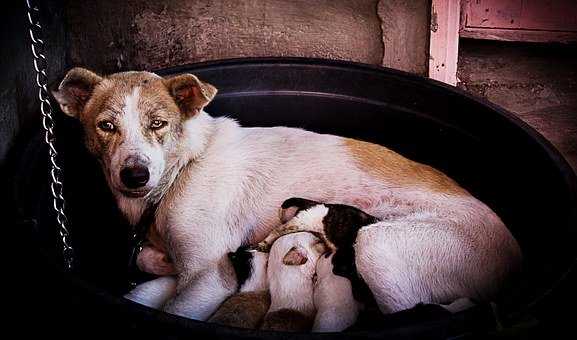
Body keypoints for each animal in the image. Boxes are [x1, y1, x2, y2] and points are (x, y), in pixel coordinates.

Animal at [53, 67, 520, 322]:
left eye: (158, 124)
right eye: (106, 126)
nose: (134, 175)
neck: (185, 166)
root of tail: (514, 255)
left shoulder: (209, 276)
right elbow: (151, 259)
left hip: (379, 245)